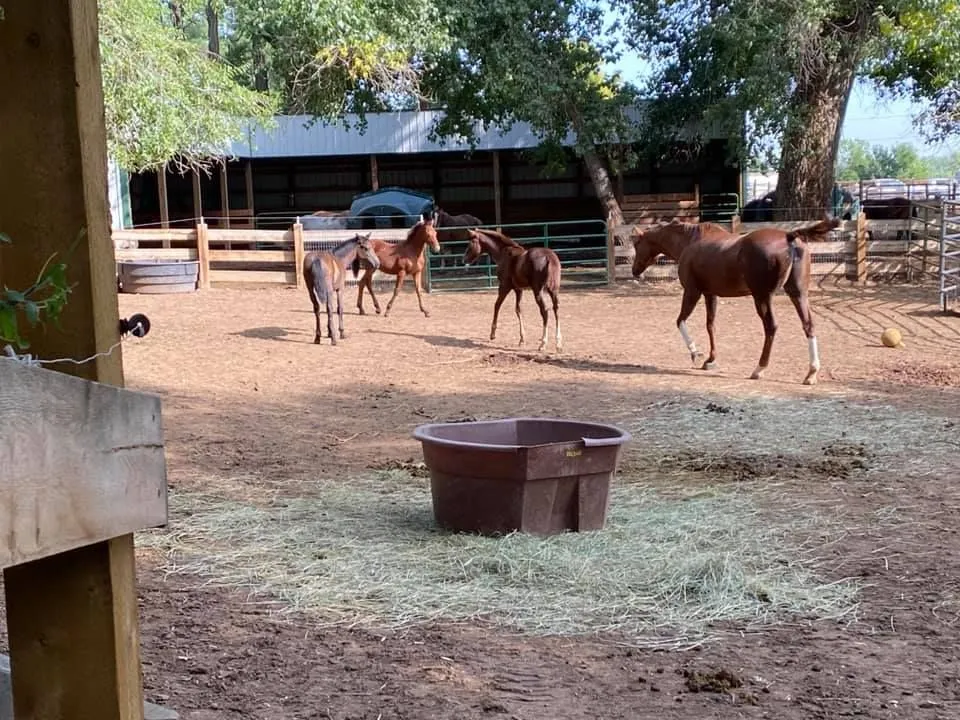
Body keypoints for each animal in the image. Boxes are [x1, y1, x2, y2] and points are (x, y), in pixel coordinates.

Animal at [630, 217, 841, 385]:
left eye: (636, 245)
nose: (634, 270)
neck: (690, 241)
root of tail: (789, 237)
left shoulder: (692, 292)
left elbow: (680, 320)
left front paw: (695, 353)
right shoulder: (710, 294)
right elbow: (710, 325)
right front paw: (710, 360)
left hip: (762, 297)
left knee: (771, 327)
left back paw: (759, 369)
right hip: (798, 294)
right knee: (808, 325)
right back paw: (811, 373)